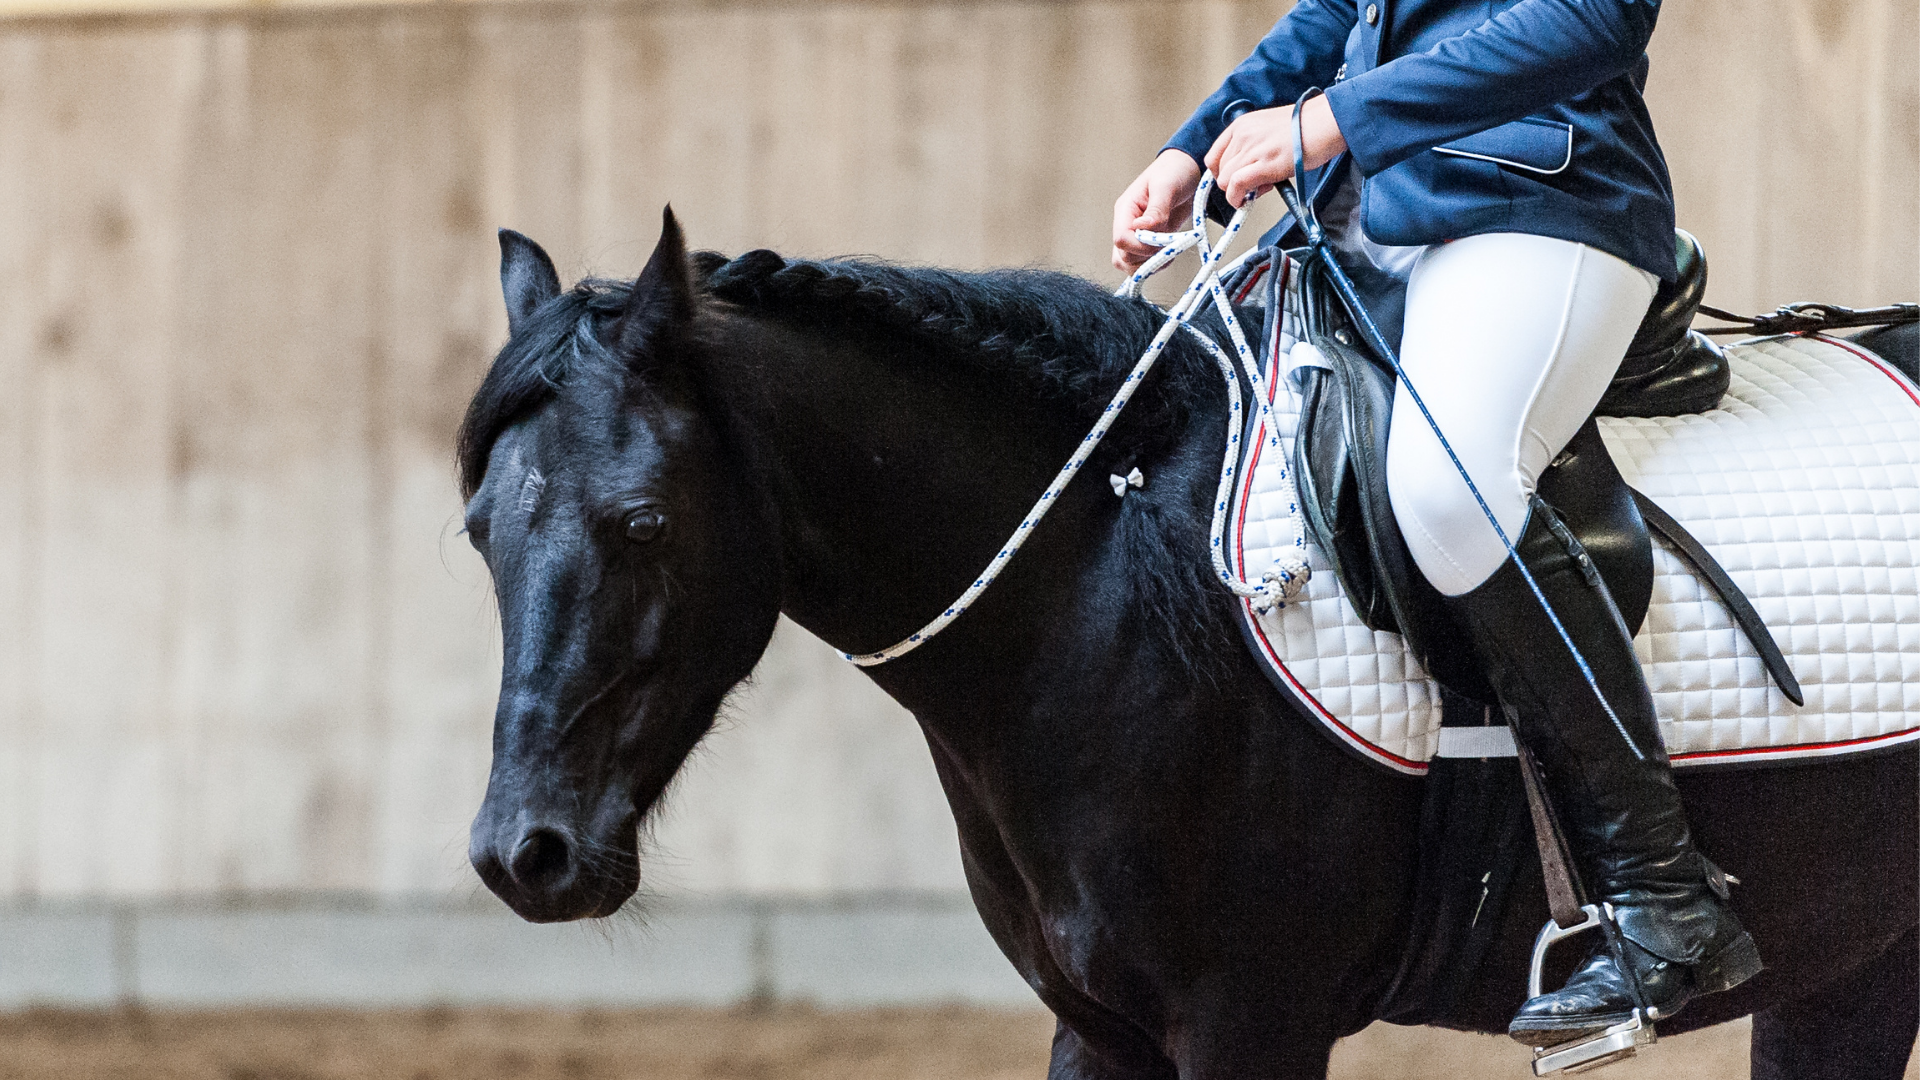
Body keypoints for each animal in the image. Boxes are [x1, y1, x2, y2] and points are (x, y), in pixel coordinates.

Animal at [457, 209, 1919, 1080]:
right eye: (477, 529)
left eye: (643, 521)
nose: (525, 856)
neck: (1097, 585)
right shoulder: (1100, 1023)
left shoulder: (1246, 1020)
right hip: (1856, 958)